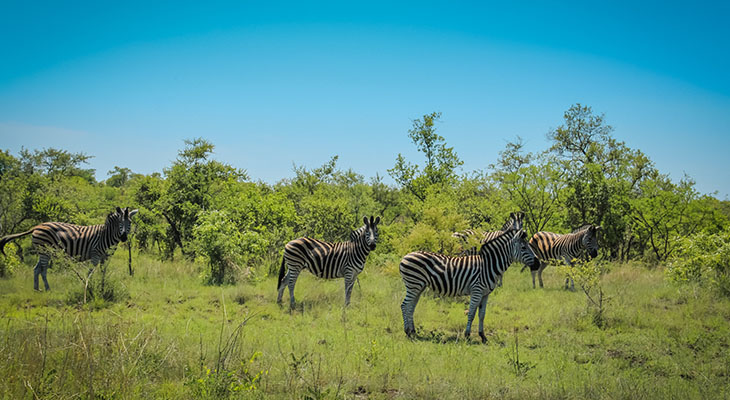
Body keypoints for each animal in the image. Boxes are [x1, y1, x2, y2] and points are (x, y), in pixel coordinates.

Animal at [0, 206, 138, 290]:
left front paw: (103, 285)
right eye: (120, 223)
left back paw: (37, 289)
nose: (124, 238)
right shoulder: (95, 254)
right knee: (43, 270)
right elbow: (90, 272)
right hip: (45, 251)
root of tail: (37, 226)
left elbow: (103, 272)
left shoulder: (106, 256)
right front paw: (88, 286)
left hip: (42, 251)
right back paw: (48, 289)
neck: (106, 235)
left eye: (130, 223)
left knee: (36, 269)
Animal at [396, 228, 536, 344]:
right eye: (523, 247)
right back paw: (407, 332)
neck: (488, 265)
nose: (537, 263)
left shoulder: (485, 293)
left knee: (411, 307)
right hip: (414, 284)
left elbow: (482, 314)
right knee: (405, 305)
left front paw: (483, 336)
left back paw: (413, 332)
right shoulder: (477, 290)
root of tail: (405, 256)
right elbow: (471, 313)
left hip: (419, 287)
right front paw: (467, 335)